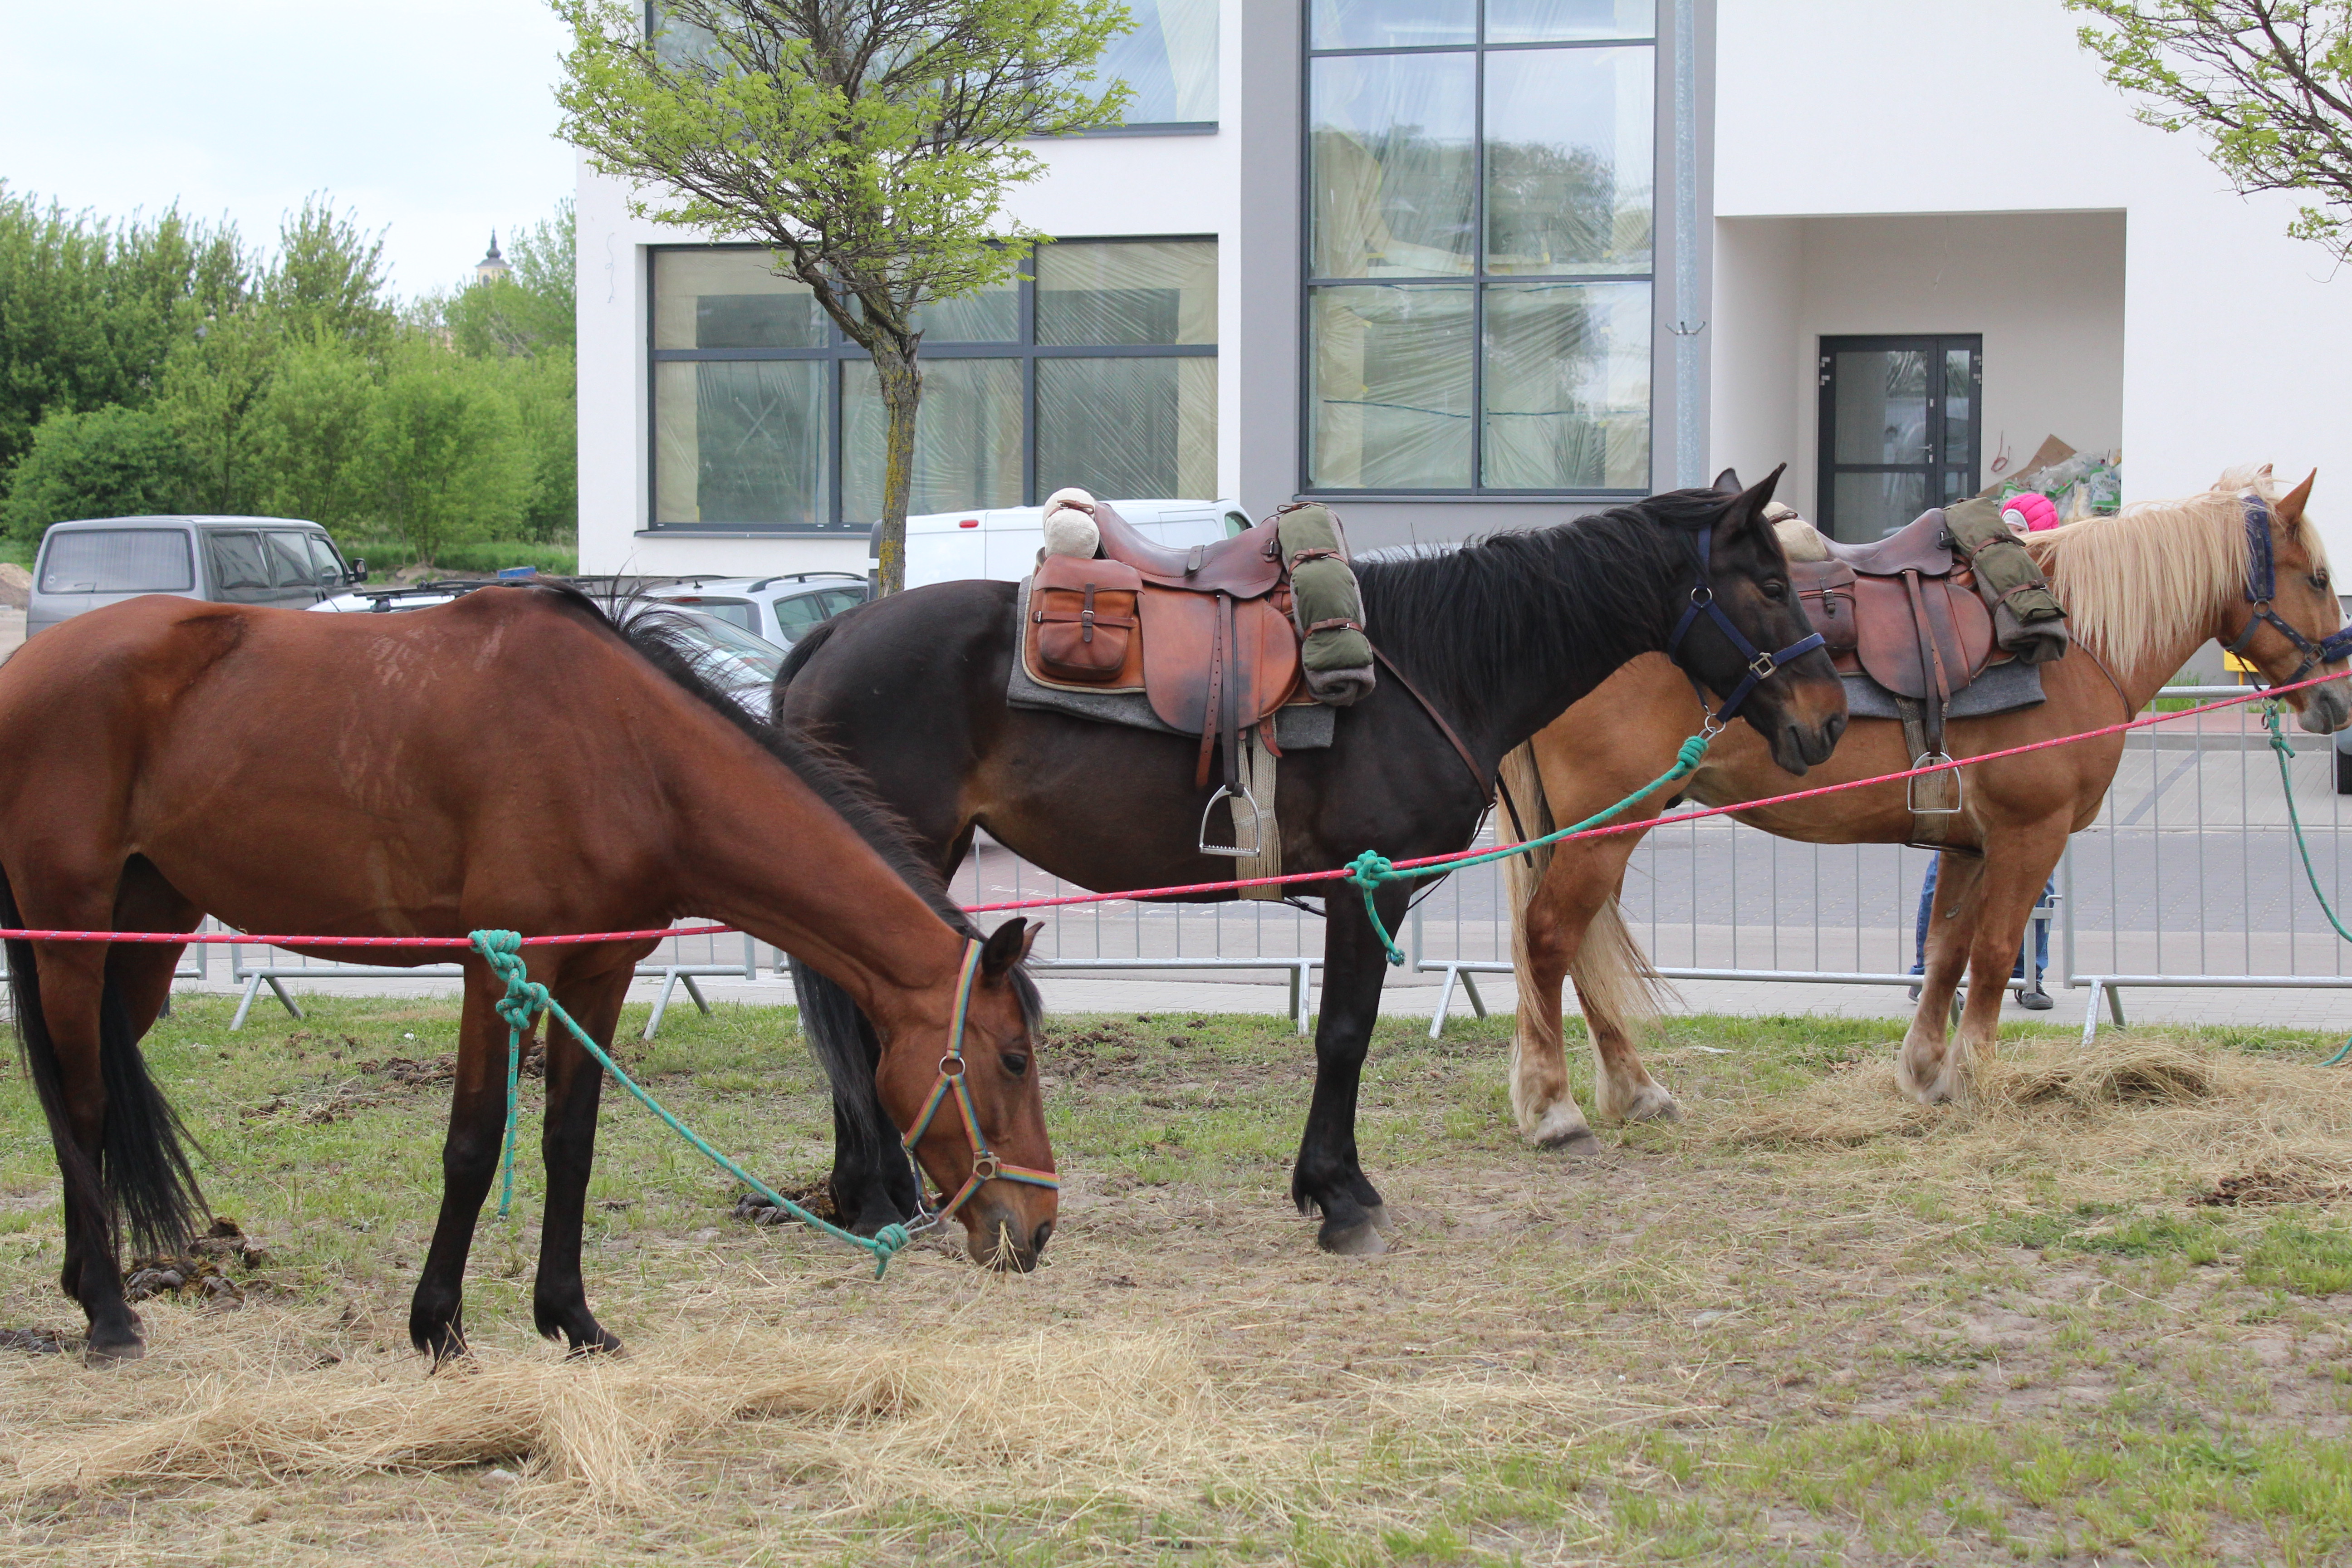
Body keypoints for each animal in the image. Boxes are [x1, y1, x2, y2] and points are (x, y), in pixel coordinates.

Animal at [0, 582, 1052, 1365]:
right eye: (1010, 1059)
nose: (1037, 1227)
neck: (625, 754)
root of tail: (24, 665)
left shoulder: (600, 976)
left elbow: (569, 1146)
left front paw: (572, 1321)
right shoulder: (497, 970)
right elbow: (473, 1145)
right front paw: (438, 1326)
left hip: (143, 941)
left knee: (81, 1103)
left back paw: (84, 1287)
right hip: (70, 935)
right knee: (80, 1107)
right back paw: (109, 1317)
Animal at [772, 473, 1849, 1256]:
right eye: (1768, 585)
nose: (1828, 720)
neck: (1437, 664)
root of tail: (832, 631)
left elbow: (1346, 1036)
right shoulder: (1361, 889)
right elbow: (1343, 1036)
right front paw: (1340, 1197)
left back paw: (876, 1194)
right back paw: (878, 1199)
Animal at [1497, 465, 2351, 1139]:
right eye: (2316, 578)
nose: (2336, 699)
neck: (2076, 640)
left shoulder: (1967, 843)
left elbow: (1945, 953)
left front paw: (1927, 1072)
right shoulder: (2029, 836)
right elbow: (1996, 954)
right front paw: (1974, 1076)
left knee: (1579, 950)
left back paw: (1635, 1092)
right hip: (1607, 827)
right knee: (1551, 938)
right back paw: (1554, 1108)